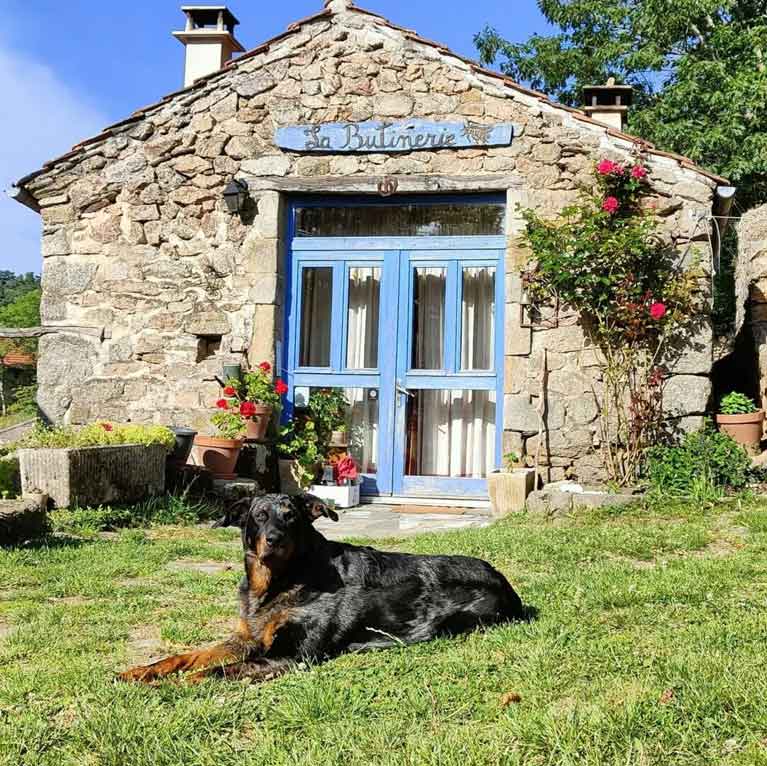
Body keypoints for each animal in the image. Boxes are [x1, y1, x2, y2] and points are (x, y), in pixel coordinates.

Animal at [118, 496, 528, 688]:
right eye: (259, 516)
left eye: (292, 517)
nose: (275, 540)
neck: (279, 582)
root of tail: (506, 582)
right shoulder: (244, 638)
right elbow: (184, 657)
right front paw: (140, 671)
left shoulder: (288, 656)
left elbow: (219, 670)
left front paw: (182, 683)